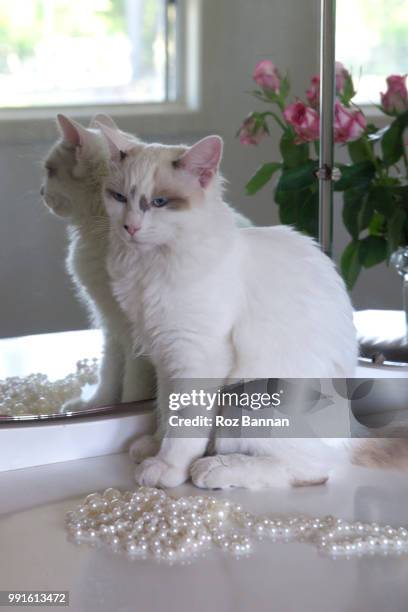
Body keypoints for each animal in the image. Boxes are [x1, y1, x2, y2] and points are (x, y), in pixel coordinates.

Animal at [101, 128, 364, 488]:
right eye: (119, 198)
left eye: (159, 202)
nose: (130, 226)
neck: (149, 267)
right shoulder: (166, 356)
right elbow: (167, 409)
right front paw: (155, 445)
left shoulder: (196, 356)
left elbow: (185, 423)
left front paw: (168, 467)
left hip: (251, 401)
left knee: (308, 470)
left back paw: (215, 468)